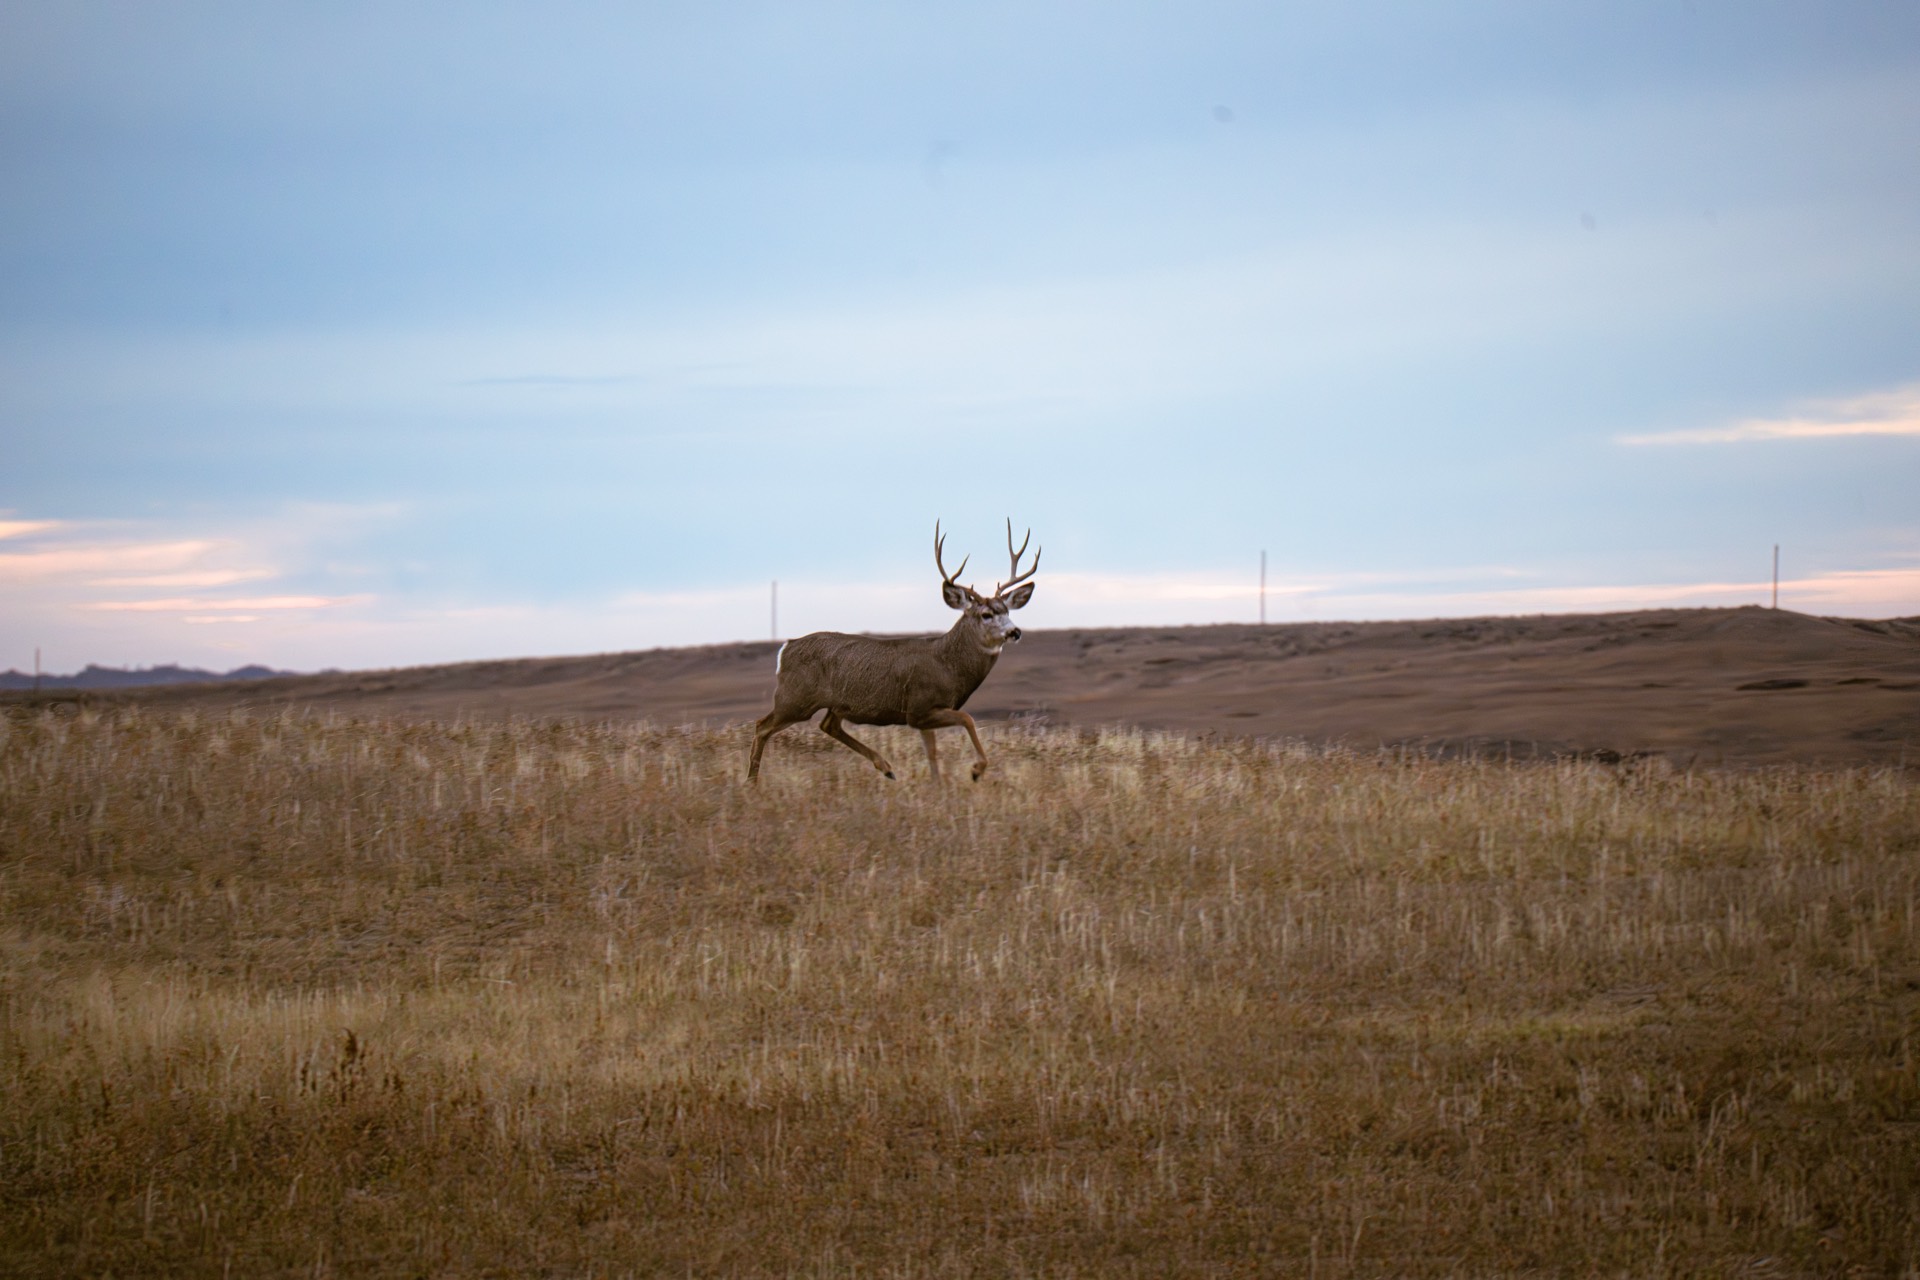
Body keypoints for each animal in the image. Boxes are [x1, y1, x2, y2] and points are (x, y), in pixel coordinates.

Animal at [747, 520, 1040, 784]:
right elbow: (967, 719)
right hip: (795, 697)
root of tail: (786, 648)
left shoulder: (925, 716)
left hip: (832, 703)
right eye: (986, 614)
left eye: (1008, 611)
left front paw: (938, 789)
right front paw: (977, 770)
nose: (1015, 632)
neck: (948, 664)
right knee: (762, 726)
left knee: (827, 725)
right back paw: (751, 783)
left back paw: (886, 768)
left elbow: (932, 755)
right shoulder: (920, 707)